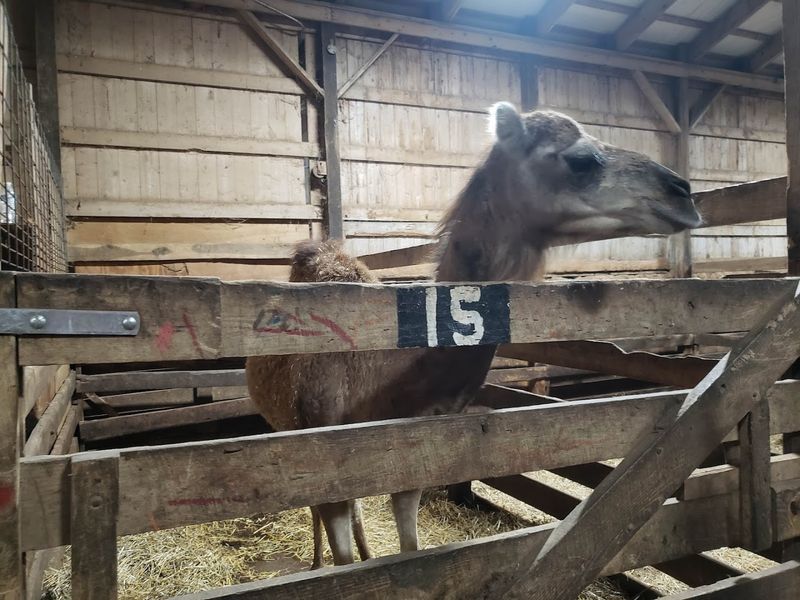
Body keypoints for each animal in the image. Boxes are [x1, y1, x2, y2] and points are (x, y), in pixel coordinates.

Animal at [246, 103, 703, 568]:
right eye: (580, 160)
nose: (682, 192)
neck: (385, 385)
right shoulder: (321, 450)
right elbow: (343, 554)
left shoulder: (410, 463)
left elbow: (409, 549)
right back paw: (317, 560)